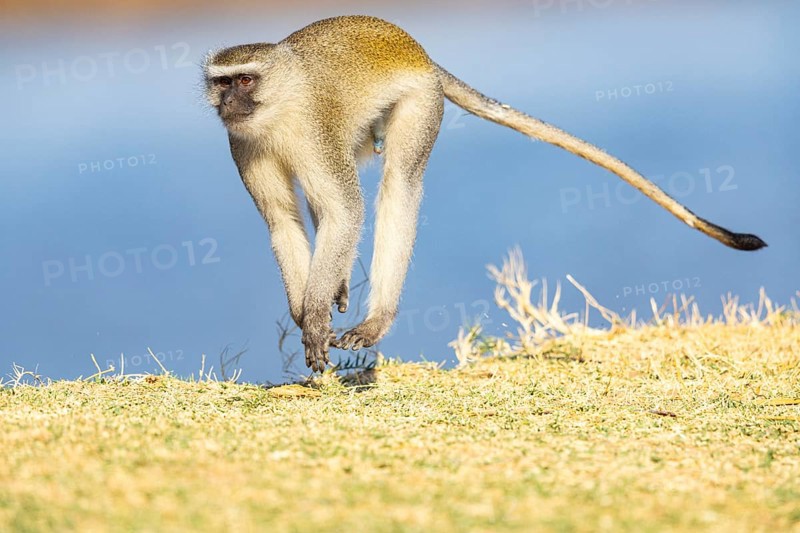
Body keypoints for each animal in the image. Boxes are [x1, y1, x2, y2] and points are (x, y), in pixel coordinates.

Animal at [203, 15, 766, 373]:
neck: (277, 110)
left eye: (245, 81)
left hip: (421, 100)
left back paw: (377, 319)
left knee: (398, 186)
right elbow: (283, 220)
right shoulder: (241, 143)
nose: (227, 103)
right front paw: (307, 310)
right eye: (221, 83)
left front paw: (315, 315)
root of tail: (422, 55)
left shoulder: (313, 131)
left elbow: (345, 209)